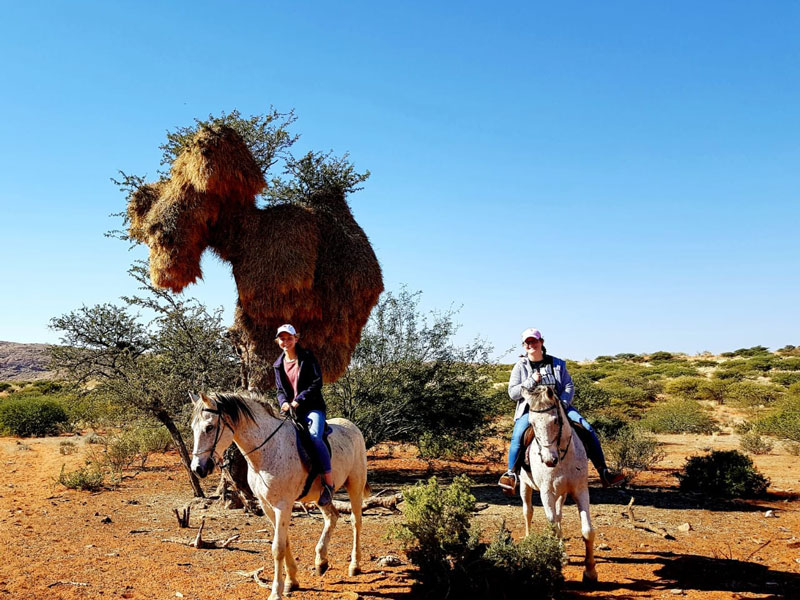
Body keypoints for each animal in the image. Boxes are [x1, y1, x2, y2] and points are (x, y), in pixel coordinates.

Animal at [191, 392, 368, 596]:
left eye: (209, 427)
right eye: (193, 428)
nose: (197, 468)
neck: (268, 450)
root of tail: (352, 426)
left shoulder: (283, 505)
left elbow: (277, 548)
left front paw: (276, 592)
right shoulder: (267, 505)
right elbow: (285, 542)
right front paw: (292, 581)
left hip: (355, 486)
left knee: (356, 522)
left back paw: (354, 565)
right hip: (321, 496)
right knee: (332, 517)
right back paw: (321, 561)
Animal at [516, 384, 596, 580]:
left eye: (555, 421)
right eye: (532, 423)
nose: (548, 460)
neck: (562, 457)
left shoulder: (580, 490)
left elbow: (587, 530)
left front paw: (590, 571)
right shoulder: (547, 493)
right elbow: (551, 524)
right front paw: (554, 559)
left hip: (562, 493)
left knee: (559, 515)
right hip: (525, 486)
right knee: (528, 512)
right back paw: (529, 540)